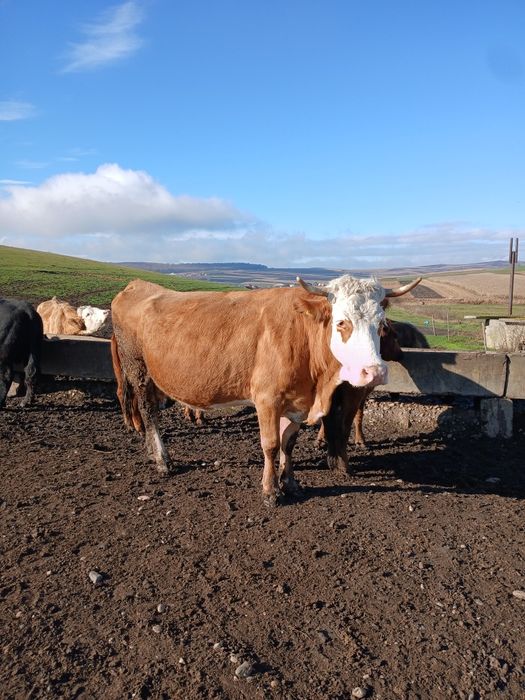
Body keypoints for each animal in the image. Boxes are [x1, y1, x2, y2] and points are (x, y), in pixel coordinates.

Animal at [111, 275, 421, 505]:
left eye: (381, 324)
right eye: (342, 322)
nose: (375, 372)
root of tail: (137, 285)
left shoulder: (296, 403)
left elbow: (288, 443)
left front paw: (291, 482)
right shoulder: (267, 399)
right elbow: (270, 444)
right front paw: (271, 490)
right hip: (138, 371)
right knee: (149, 413)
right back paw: (162, 459)